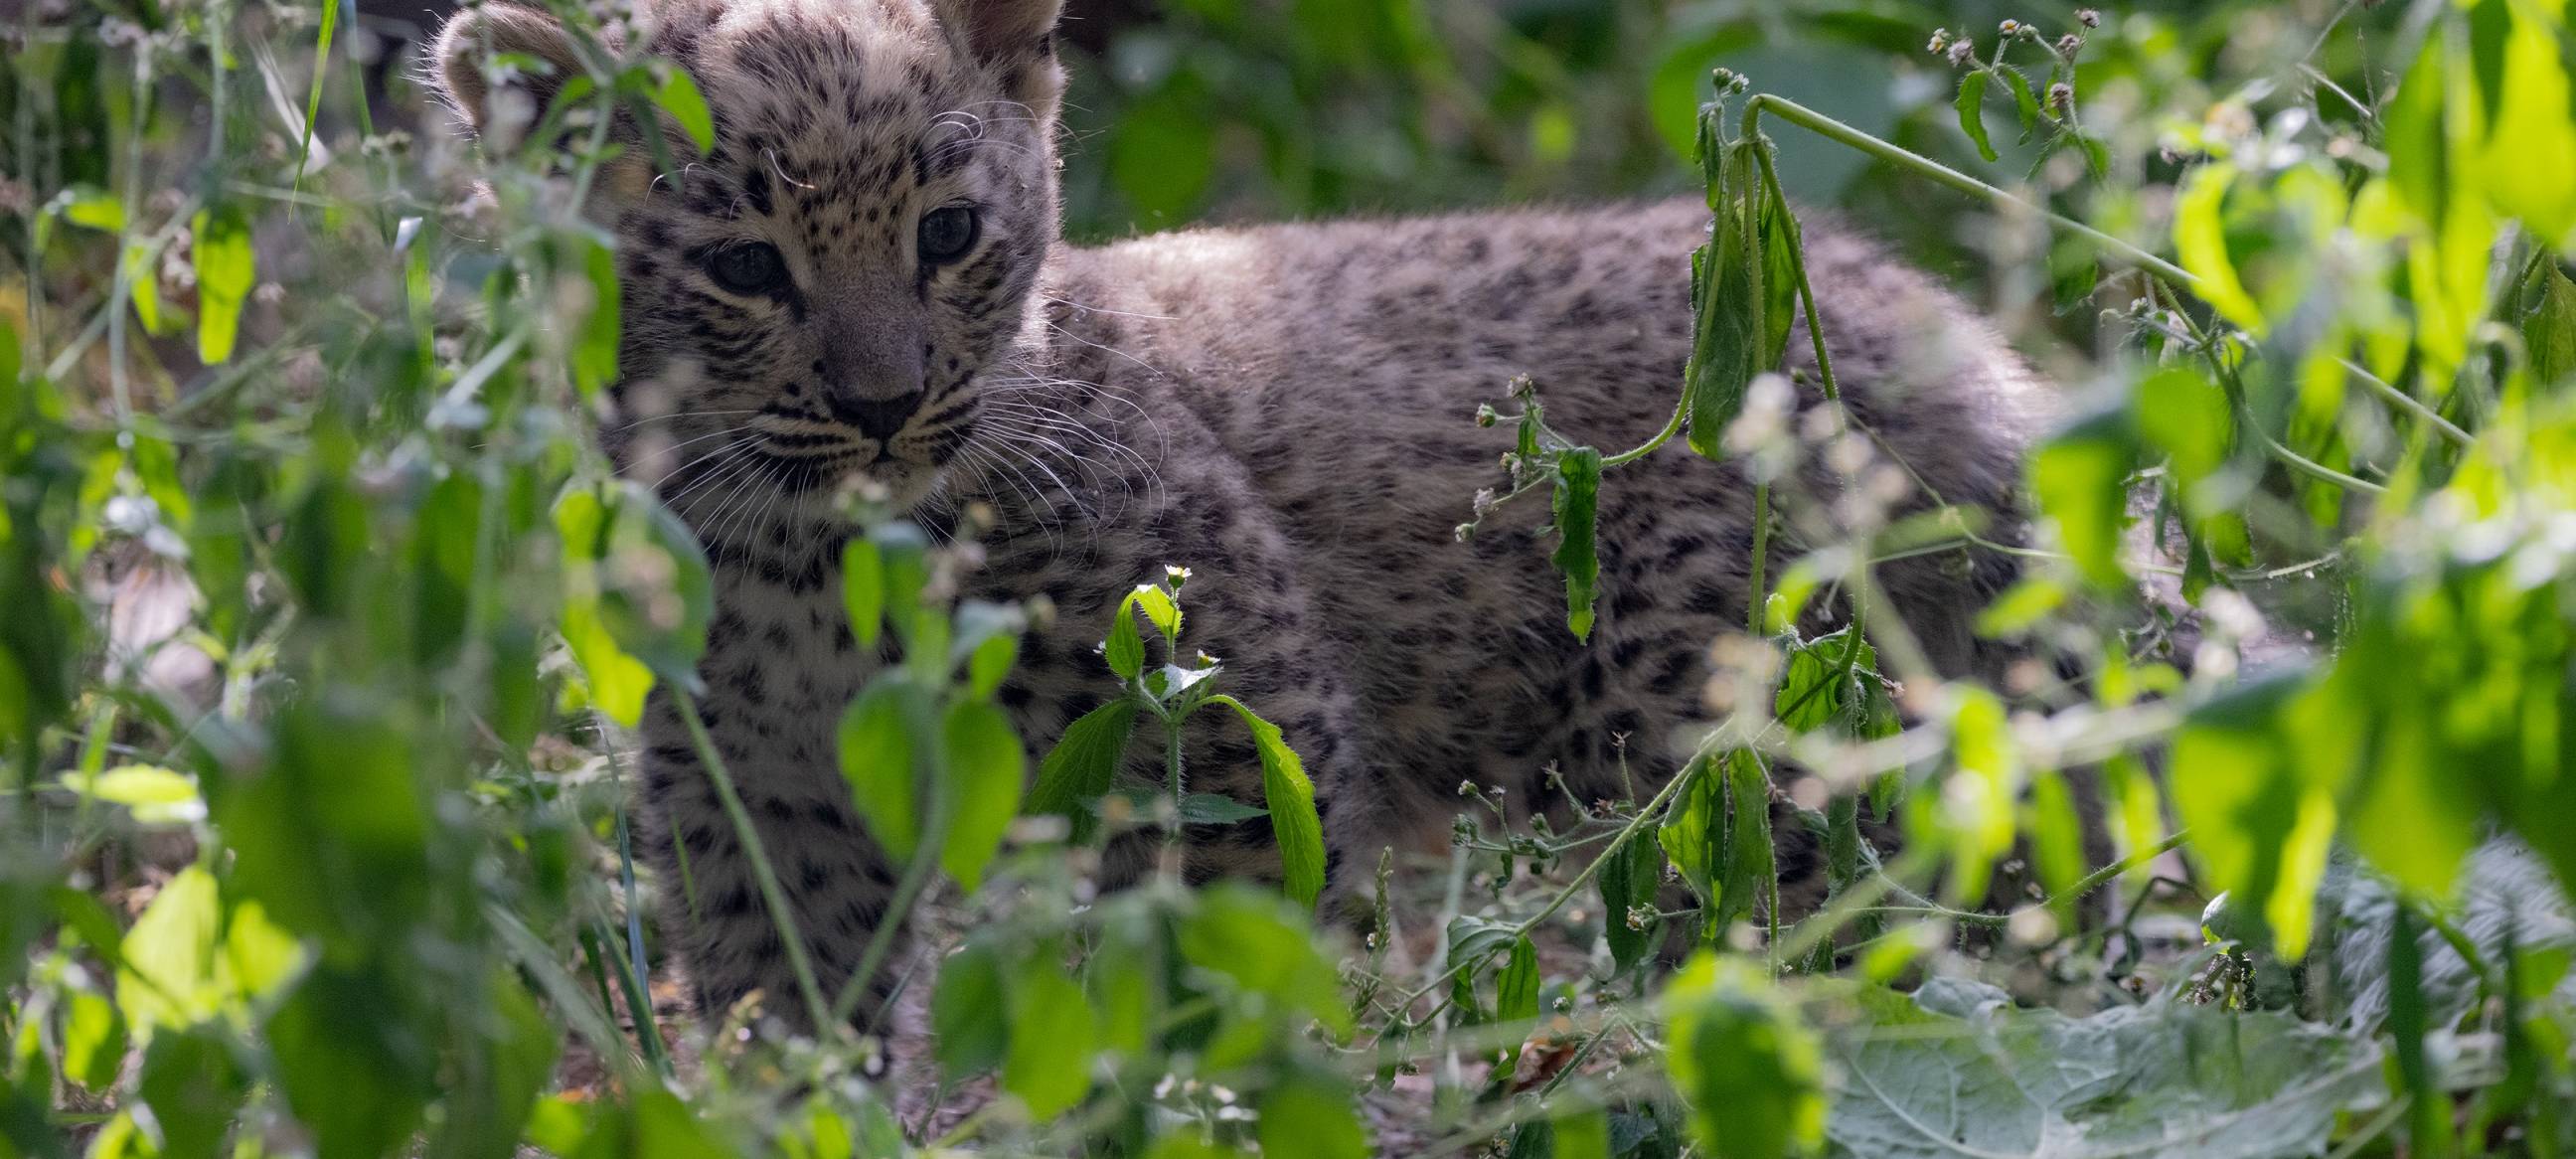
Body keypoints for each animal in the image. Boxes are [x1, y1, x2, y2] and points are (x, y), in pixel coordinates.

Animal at [429, 0, 2056, 1033]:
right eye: (746, 268)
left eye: (948, 234)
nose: (884, 404)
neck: (818, 557)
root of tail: (1956, 343)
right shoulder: (759, 789)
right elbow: (785, 1008)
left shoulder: (1223, 743)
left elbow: (1209, 997)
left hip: (1722, 745)